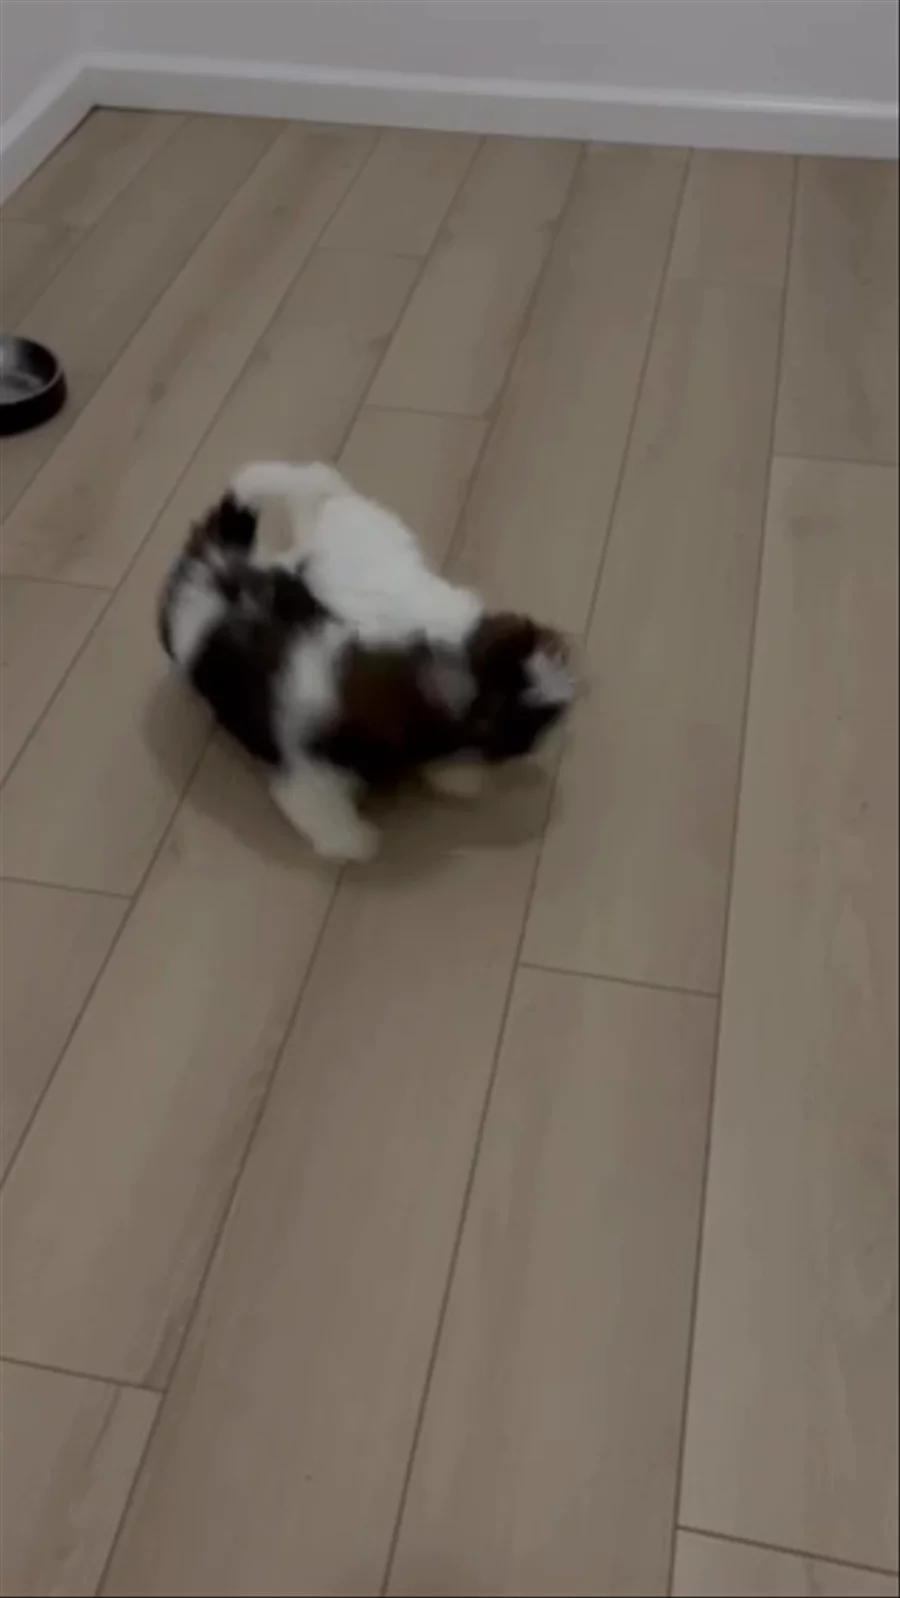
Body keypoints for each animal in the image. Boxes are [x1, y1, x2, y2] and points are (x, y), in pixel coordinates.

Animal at [157, 462, 574, 861]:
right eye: (522, 724)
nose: (563, 707)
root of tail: (213, 558)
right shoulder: (311, 775)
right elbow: (322, 810)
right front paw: (356, 843)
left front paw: (455, 776)